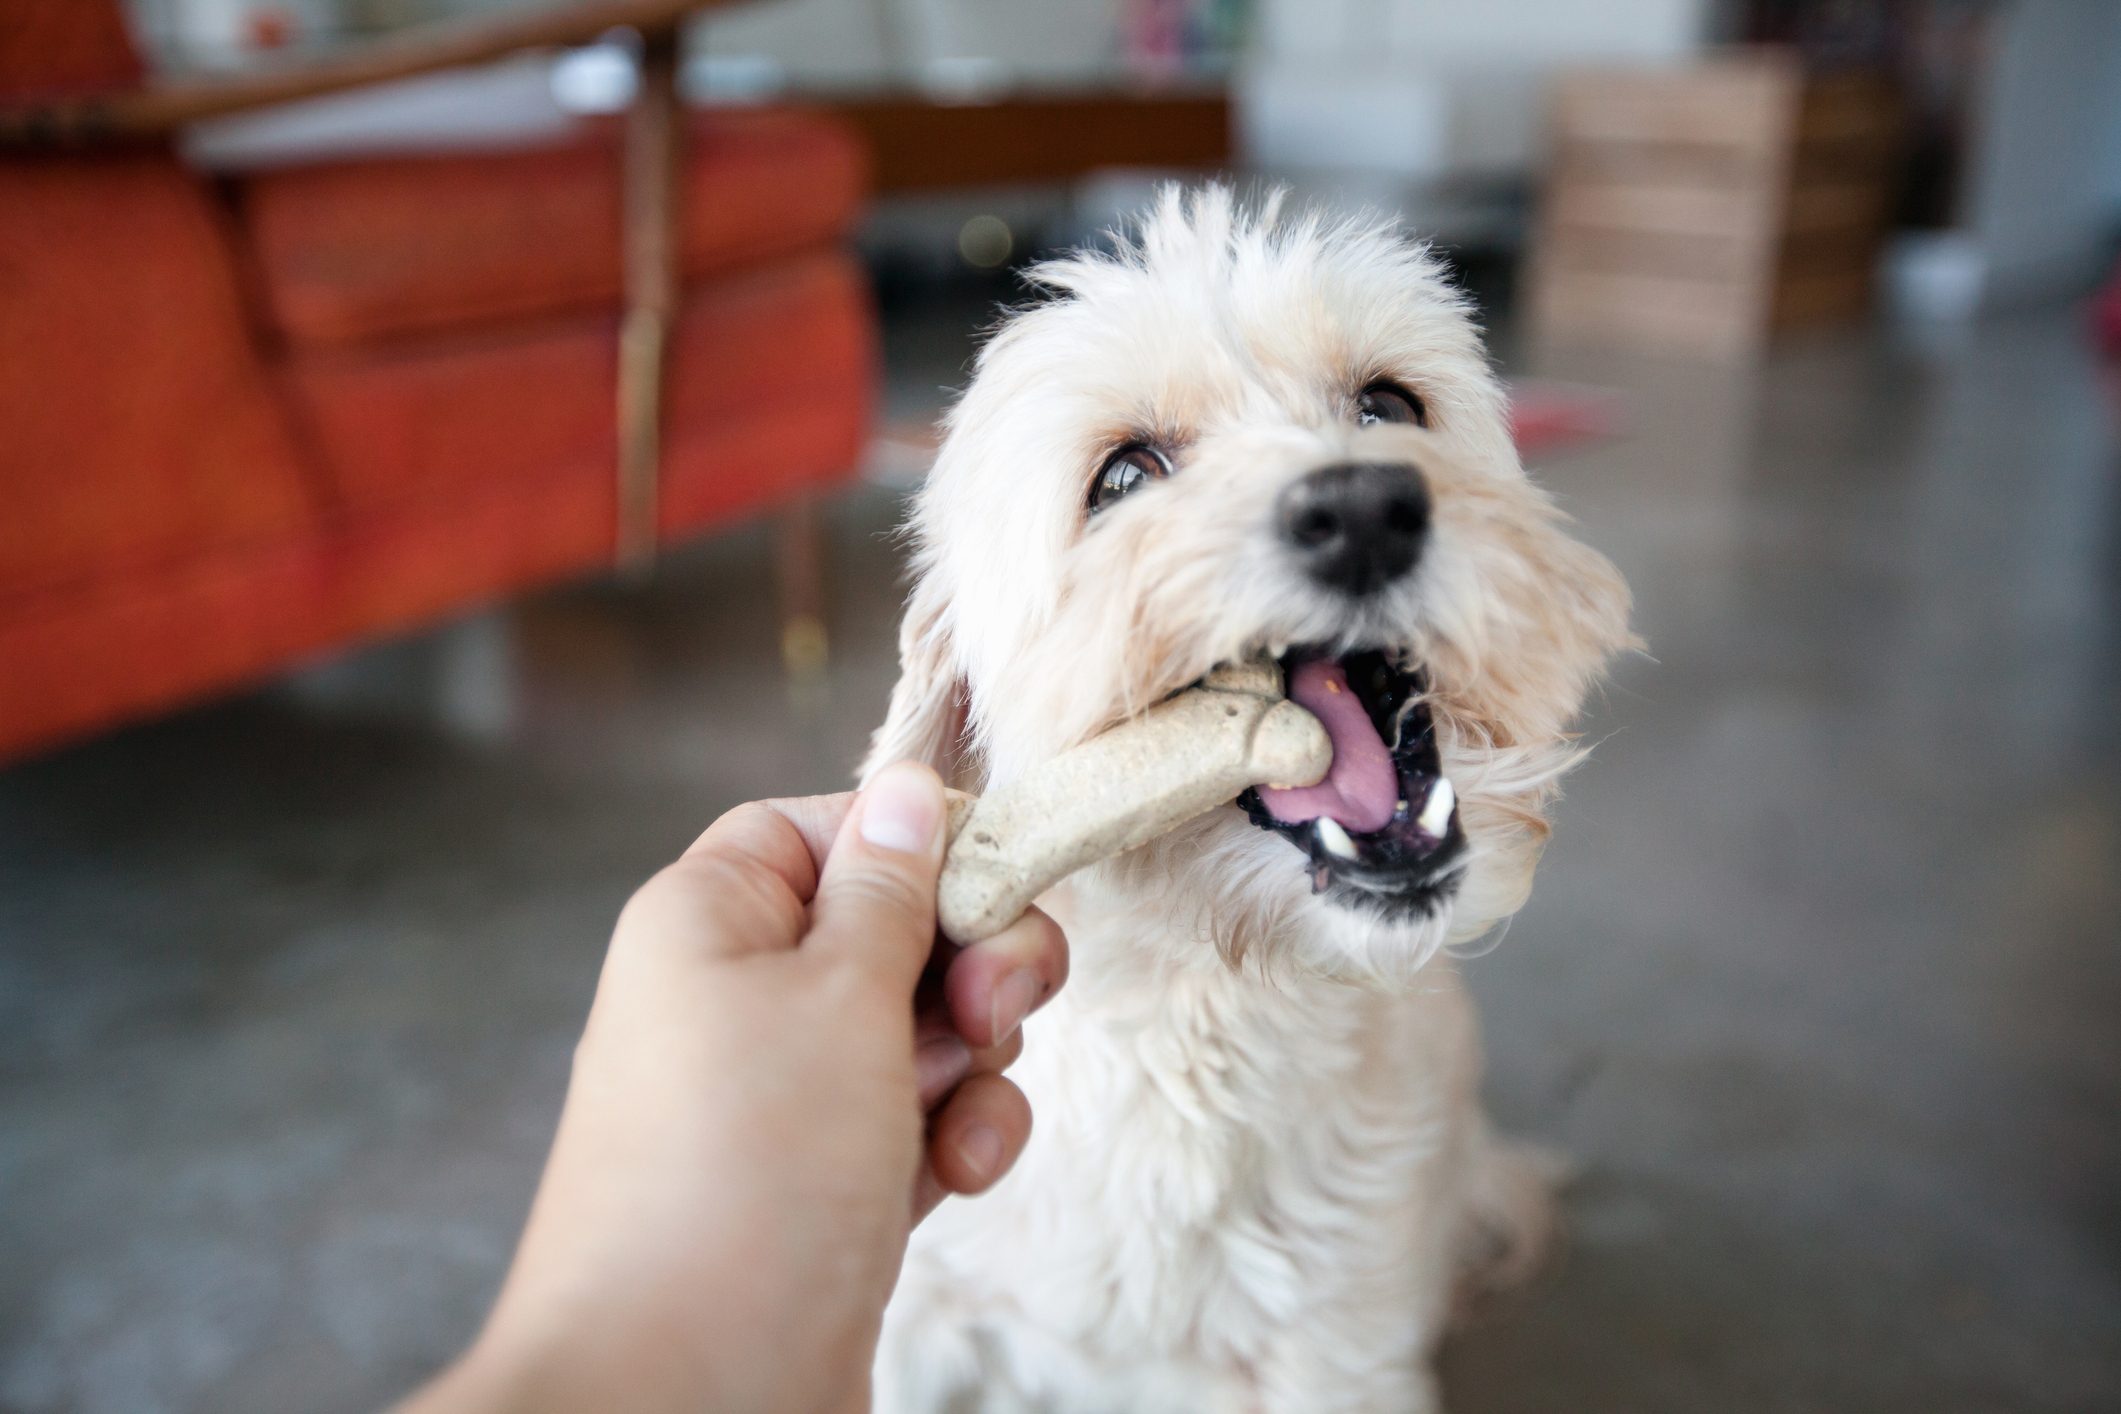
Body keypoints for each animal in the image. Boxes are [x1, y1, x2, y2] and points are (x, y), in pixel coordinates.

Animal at [852, 190, 1628, 1414]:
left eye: (1388, 406)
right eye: (1124, 478)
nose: (1363, 507)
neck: (1200, 1012)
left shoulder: (1338, 1357)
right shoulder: (915, 1328)